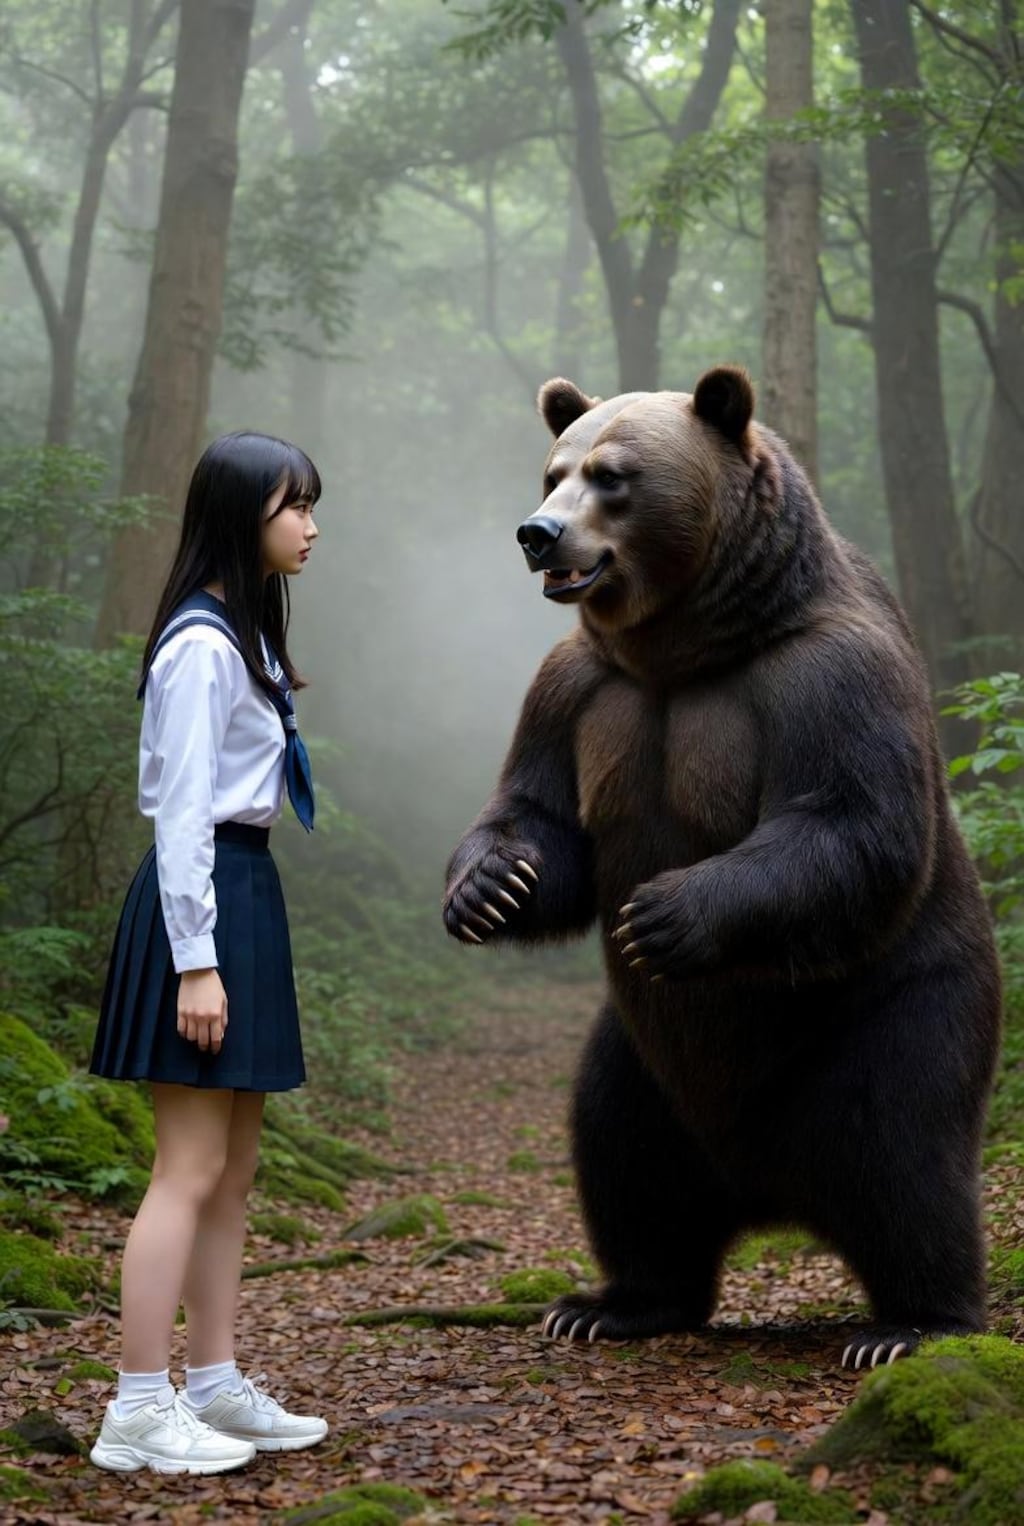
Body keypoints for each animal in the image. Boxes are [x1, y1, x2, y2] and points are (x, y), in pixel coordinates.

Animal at [442, 365, 1002, 1369]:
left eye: (612, 476)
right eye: (553, 470)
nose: (538, 532)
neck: (685, 647)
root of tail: (773, 1194)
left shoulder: (825, 675)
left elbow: (849, 822)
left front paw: (665, 910)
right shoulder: (577, 689)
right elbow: (539, 810)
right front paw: (487, 887)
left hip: (891, 1008)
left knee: (907, 1152)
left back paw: (912, 1323)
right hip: (643, 1058)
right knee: (621, 1154)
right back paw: (613, 1301)